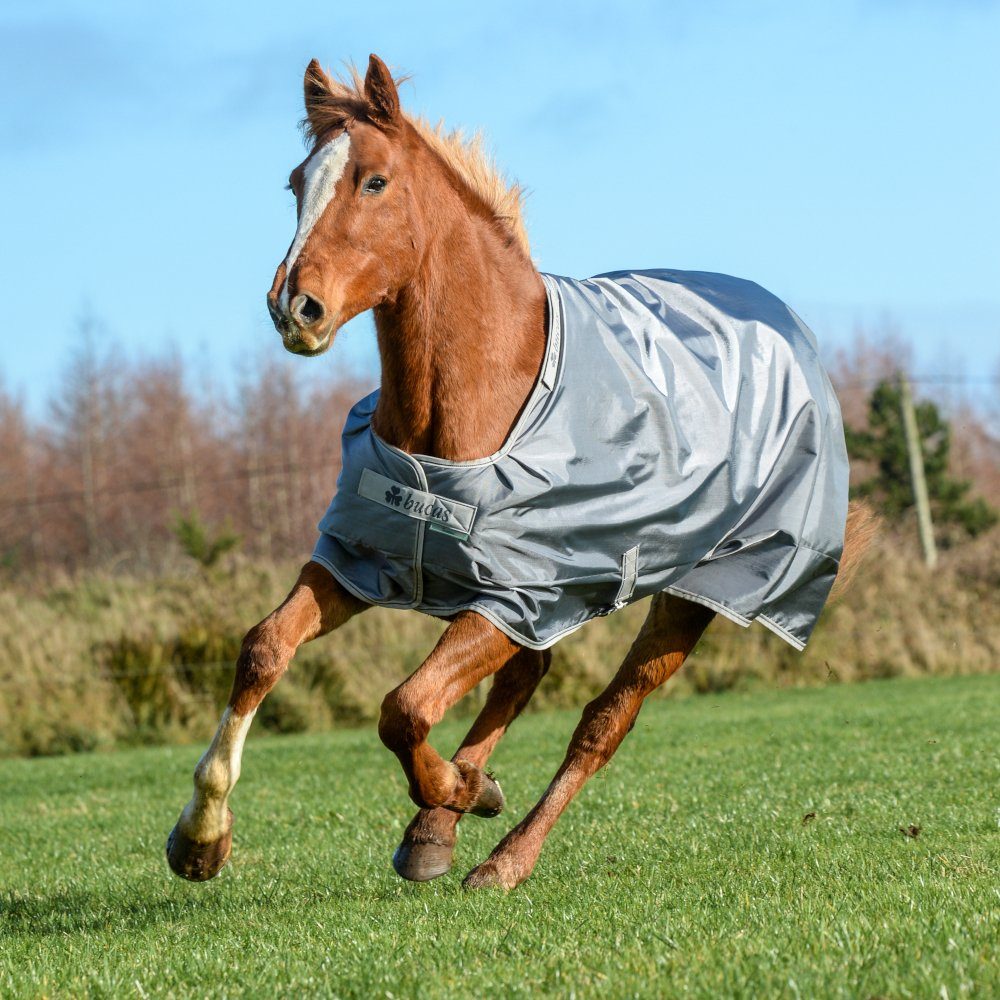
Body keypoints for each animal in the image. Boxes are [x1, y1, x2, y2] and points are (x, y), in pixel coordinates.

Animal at [166, 54, 876, 888]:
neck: (467, 410)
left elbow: (403, 708)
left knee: (603, 721)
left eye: (373, 181)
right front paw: (200, 838)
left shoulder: (513, 595)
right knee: (525, 678)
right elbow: (264, 648)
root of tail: (788, 328)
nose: (293, 307)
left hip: (690, 595)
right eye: (295, 181)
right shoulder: (369, 561)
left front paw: (462, 788)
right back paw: (436, 830)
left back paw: (502, 854)